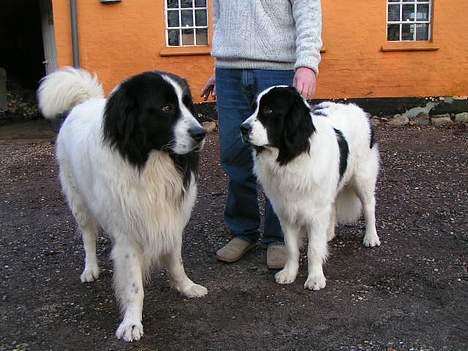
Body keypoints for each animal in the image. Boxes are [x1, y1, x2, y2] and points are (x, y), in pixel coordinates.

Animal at [37, 68, 209, 340]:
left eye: (188, 104)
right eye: (166, 107)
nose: (201, 133)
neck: (149, 161)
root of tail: (85, 102)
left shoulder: (170, 219)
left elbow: (176, 262)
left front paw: (186, 286)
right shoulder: (128, 234)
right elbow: (134, 285)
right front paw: (132, 322)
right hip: (79, 201)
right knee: (88, 236)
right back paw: (90, 269)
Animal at [241, 87, 380, 292]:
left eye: (268, 110)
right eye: (253, 108)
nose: (242, 128)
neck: (291, 157)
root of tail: (355, 108)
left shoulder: (315, 212)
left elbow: (313, 248)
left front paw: (315, 278)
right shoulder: (286, 211)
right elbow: (291, 247)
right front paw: (289, 273)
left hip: (363, 177)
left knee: (369, 206)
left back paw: (371, 236)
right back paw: (328, 234)